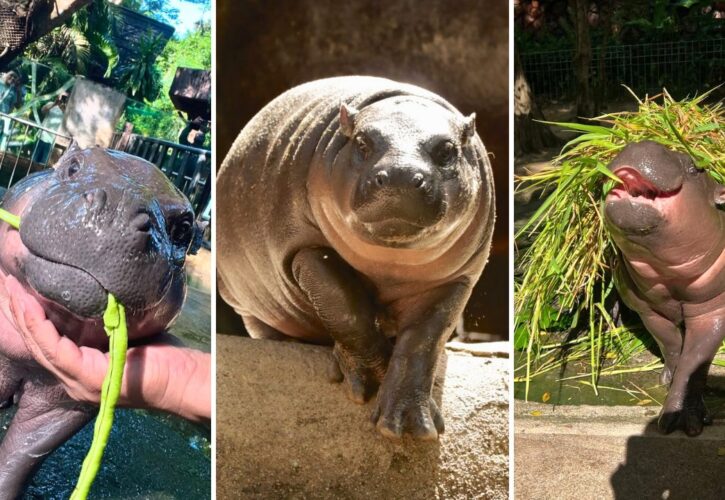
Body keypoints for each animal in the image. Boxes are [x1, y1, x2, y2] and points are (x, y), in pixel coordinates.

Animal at [218, 76, 494, 440]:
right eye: (362, 143)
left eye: (447, 150)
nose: (400, 176)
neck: (391, 262)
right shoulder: (303, 248)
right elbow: (344, 305)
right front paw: (373, 382)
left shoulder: (456, 278)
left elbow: (424, 339)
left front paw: (410, 426)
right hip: (250, 309)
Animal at [600, 140, 724, 434]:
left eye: (695, 168)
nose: (640, 142)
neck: (668, 275)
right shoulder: (649, 310)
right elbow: (670, 343)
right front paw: (668, 378)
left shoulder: (713, 312)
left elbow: (694, 361)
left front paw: (683, 421)